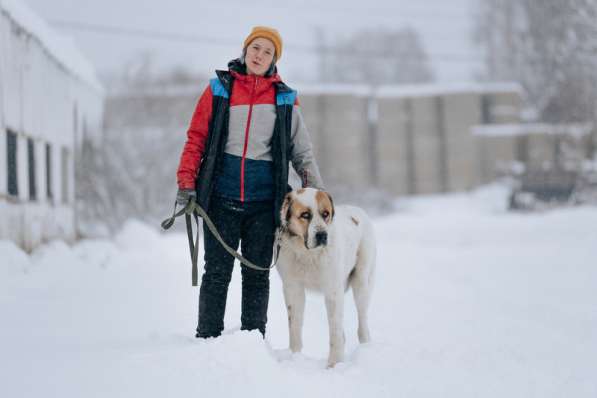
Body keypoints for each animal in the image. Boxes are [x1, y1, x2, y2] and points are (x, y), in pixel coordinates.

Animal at [276, 188, 378, 368]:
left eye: (325, 214)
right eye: (305, 215)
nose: (322, 235)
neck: (308, 254)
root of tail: (359, 211)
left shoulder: (333, 290)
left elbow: (334, 330)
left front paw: (335, 364)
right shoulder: (292, 288)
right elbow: (295, 325)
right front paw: (295, 357)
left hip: (361, 281)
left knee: (362, 319)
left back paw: (365, 347)